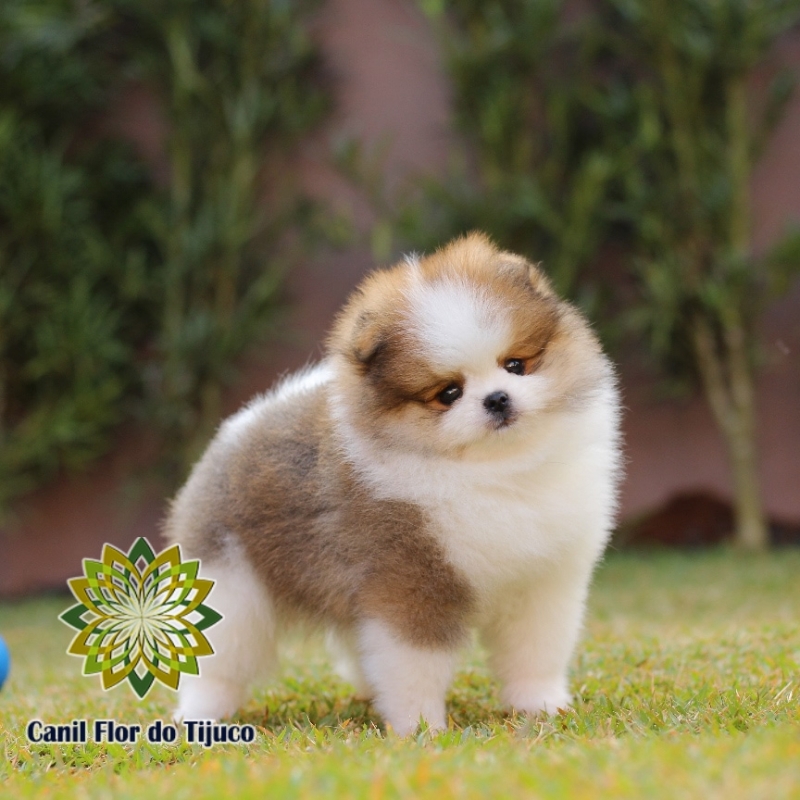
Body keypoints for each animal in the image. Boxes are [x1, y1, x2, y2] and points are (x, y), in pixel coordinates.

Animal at [166, 233, 620, 736]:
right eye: (448, 393)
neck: (497, 473)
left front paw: (541, 706)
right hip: (232, 586)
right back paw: (200, 715)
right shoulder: (410, 581)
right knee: (219, 663)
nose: (498, 399)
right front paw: (420, 728)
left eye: (516, 365)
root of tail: (238, 427)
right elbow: (414, 666)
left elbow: (535, 653)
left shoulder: (542, 583)